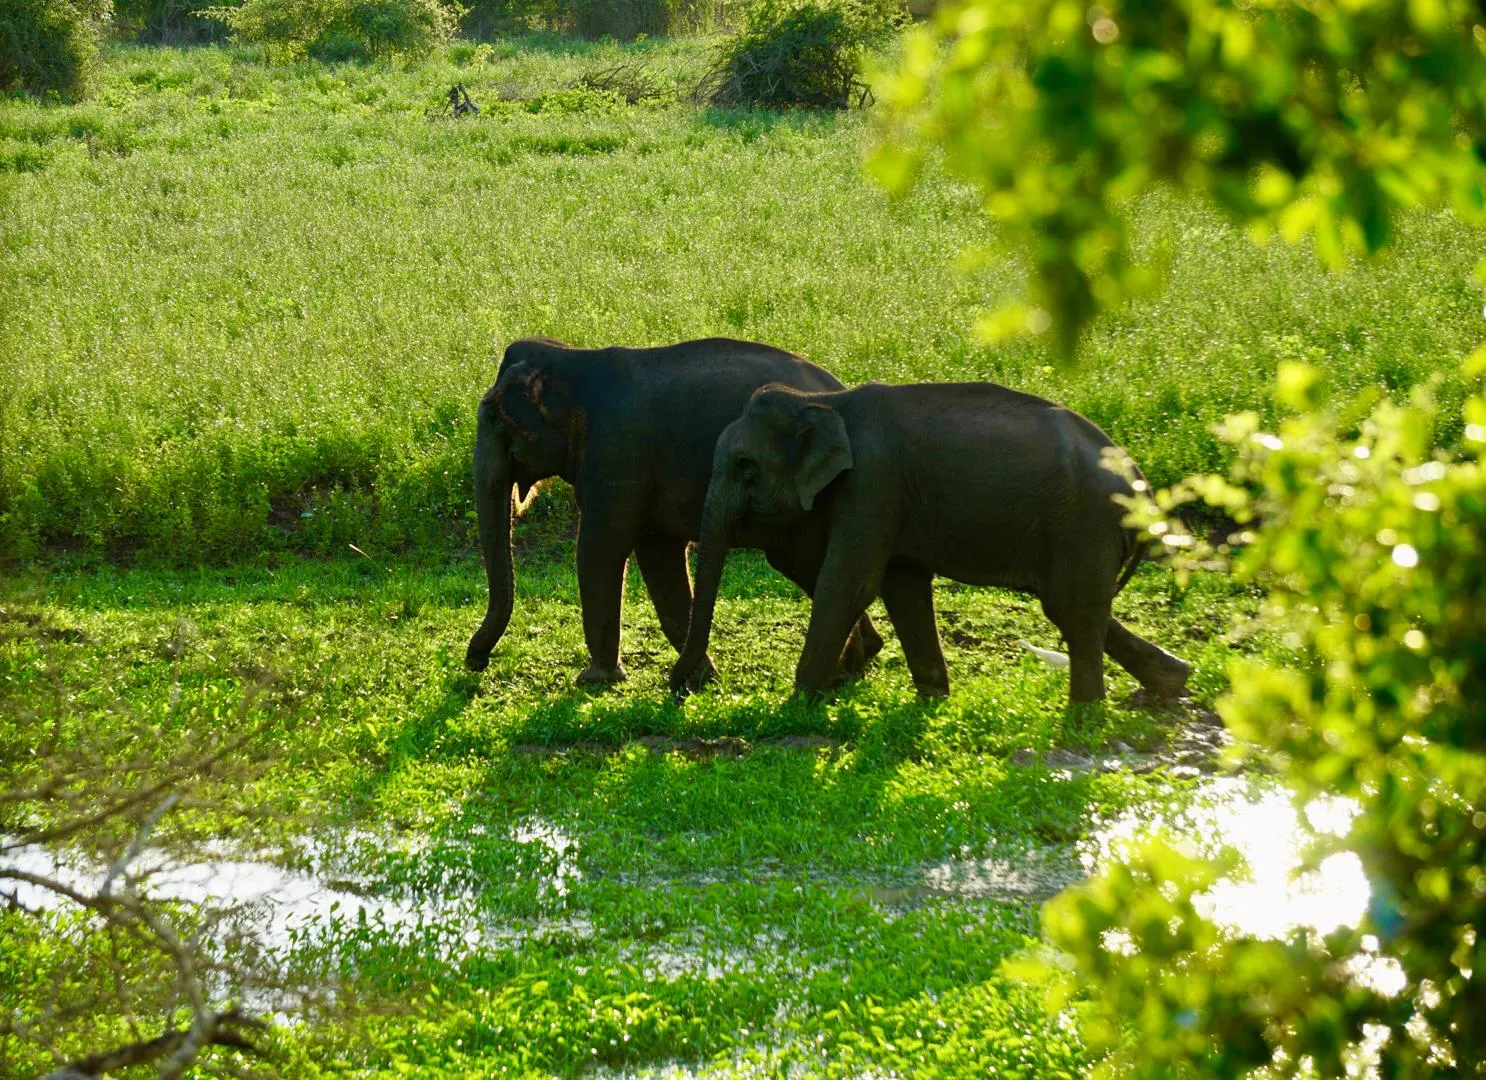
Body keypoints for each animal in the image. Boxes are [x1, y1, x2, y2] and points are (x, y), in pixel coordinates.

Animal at [464, 337, 884, 684]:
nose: (476, 663)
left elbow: (601, 550)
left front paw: (596, 679)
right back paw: (856, 664)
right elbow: (658, 557)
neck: (571, 357)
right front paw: (701, 679)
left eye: (493, 417)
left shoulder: (616, 455)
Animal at [669, 381, 1192, 704]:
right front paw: (932, 698)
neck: (824, 401)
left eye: (744, 465)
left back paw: (1084, 718)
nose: (679, 690)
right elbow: (903, 586)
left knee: (1072, 607)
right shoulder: (891, 498)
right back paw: (1172, 682)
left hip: (1083, 523)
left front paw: (798, 705)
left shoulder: (873, 484)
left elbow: (848, 584)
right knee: (1073, 606)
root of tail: (1142, 480)